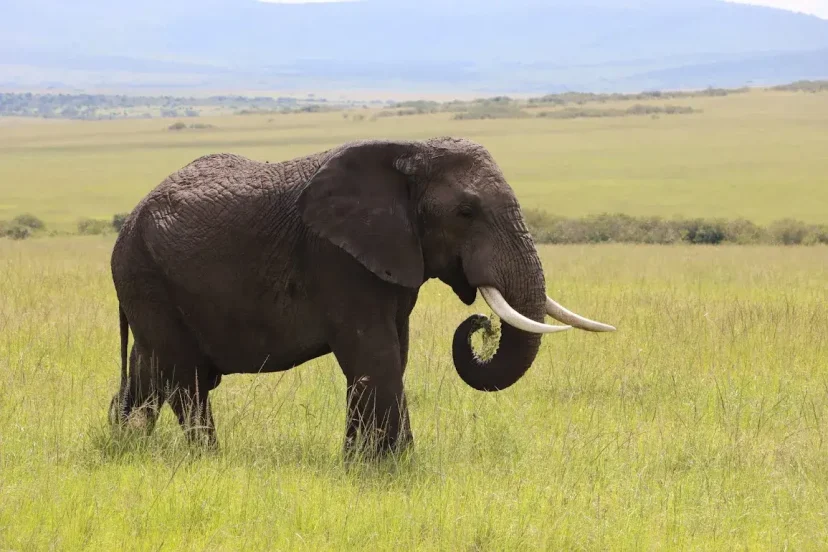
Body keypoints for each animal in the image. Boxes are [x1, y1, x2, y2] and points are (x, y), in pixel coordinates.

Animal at [108, 137, 615, 456]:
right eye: (466, 212)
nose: (480, 324)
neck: (411, 151)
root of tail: (127, 223)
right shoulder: (334, 256)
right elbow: (374, 354)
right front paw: (393, 467)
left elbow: (391, 355)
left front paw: (362, 463)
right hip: (145, 276)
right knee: (185, 377)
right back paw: (207, 459)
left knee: (149, 370)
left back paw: (123, 445)